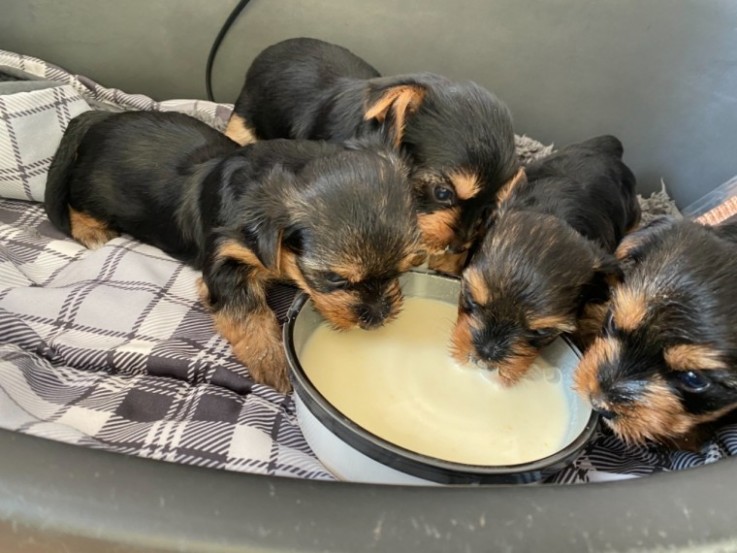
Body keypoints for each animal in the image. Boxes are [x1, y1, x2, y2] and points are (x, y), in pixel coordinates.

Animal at [46, 110, 422, 390]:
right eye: (335, 279)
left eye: (404, 269)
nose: (379, 317)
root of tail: (99, 117)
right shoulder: (226, 261)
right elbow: (248, 312)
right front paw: (272, 362)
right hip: (94, 192)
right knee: (77, 205)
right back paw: (92, 231)